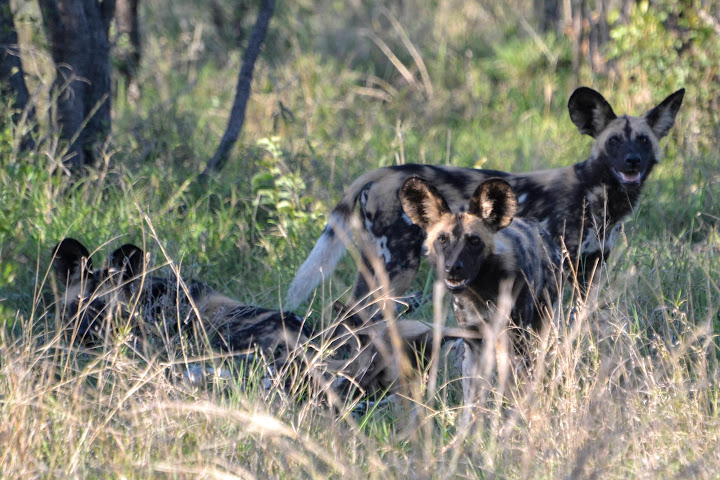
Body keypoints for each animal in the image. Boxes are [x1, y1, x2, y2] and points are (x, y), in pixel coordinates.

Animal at [284, 86, 684, 312]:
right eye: (614, 141)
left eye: (643, 140)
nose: (632, 162)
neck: (598, 195)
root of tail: (381, 172)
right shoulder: (556, 270)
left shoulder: (590, 270)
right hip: (398, 267)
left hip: (376, 267)